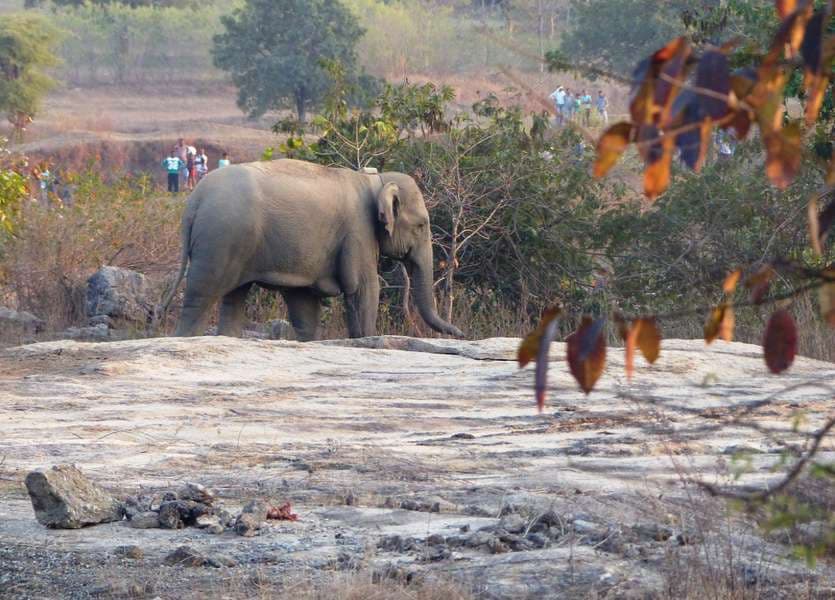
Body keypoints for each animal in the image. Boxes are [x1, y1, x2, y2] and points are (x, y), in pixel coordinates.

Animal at [160, 157, 464, 340]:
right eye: (422, 225)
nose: (460, 334)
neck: (374, 180)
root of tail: (194, 200)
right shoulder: (358, 231)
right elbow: (363, 288)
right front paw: (366, 339)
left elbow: (304, 303)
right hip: (221, 239)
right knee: (202, 295)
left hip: (234, 242)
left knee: (233, 297)